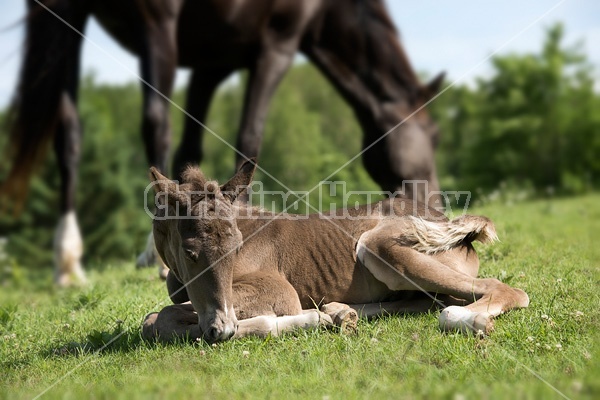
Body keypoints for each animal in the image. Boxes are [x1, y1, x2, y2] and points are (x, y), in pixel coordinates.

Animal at [2, 0, 442, 284]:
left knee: (69, 136)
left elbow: (190, 150)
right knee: (154, 123)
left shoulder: (211, 64)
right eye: (433, 134)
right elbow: (248, 136)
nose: (434, 205)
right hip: (157, 27)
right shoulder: (277, 46)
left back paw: (67, 260)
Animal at [143, 161, 528, 342]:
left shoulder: (279, 291)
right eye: (190, 252)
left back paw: (471, 320)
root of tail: (459, 229)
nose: (221, 330)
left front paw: (302, 320)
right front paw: (324, 316)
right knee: (426, 301)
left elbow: (159, 318)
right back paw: (340, 311)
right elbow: (157, 318)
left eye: (236, 247)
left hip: (378, 246)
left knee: (500, 291)